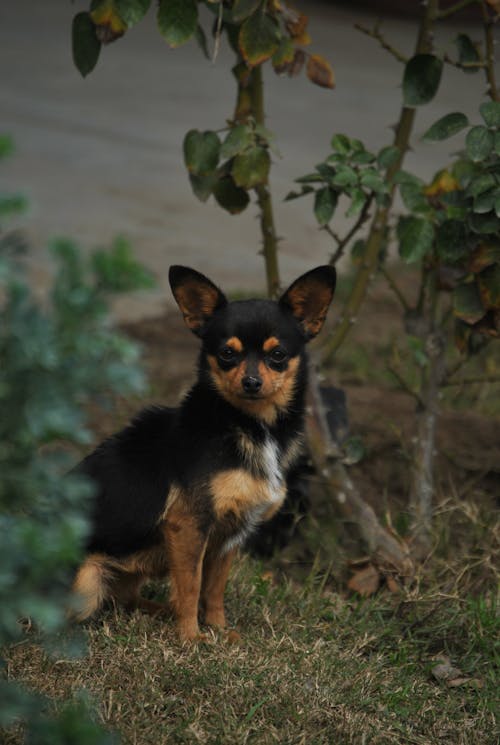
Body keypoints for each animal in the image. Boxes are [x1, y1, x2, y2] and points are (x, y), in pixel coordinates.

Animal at [71, 264, 336, 640]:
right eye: (227, 353)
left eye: (278, 355)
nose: (251, 382)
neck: (247, 425)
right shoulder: (189, 525)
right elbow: (191, 585)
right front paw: (191, 638)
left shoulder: (230, 534)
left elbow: (214, 587)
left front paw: (219, 631)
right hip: (86, 582)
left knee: (124, 599)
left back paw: (160, 612)